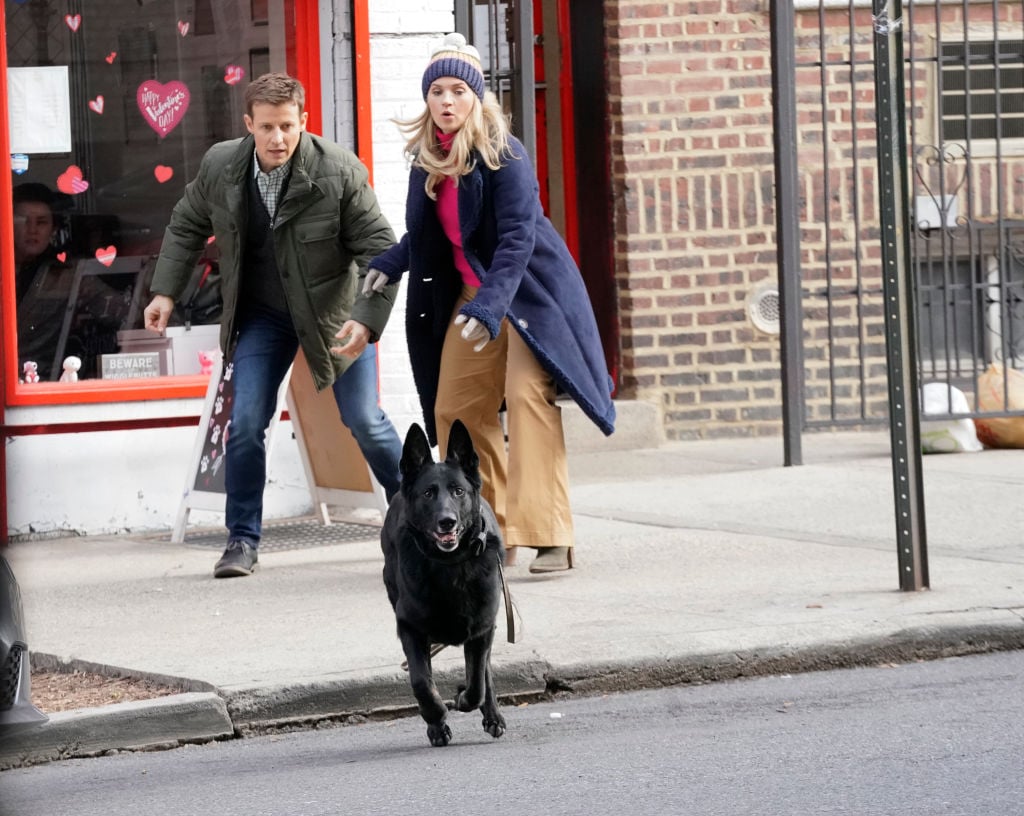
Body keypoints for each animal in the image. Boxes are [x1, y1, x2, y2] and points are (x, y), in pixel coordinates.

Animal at [380, 419, 507, 745]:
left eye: (458, 491)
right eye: (428, 494)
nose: (447, 521)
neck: (450, 566)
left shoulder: (482, 628)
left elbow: (477, 683)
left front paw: (464, 699)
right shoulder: (409, 628)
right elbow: (421, 681)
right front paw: (436, 719)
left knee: (485, 673)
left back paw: (493, 715)